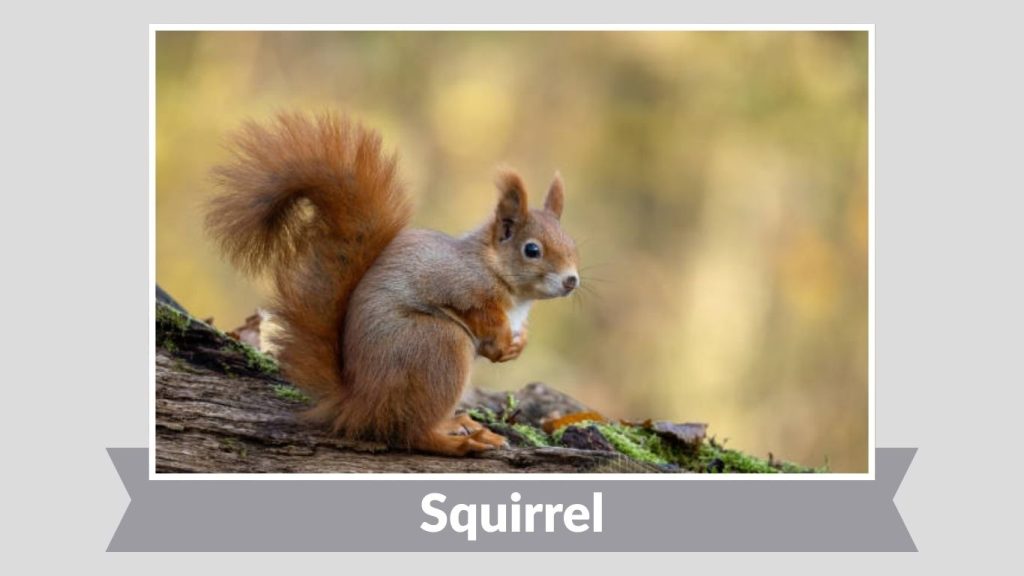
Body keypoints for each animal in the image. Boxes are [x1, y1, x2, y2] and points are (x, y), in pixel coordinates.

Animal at [205, 112, 579, 456]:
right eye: (532, 250)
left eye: (573, 244)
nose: (572, 281)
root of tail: (359, 405)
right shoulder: (456, 282)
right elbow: (477, 311)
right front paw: (502, 341)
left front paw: (517, 345)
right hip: (438, 346)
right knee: (411, 433)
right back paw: (461, 442)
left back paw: (457, 423)